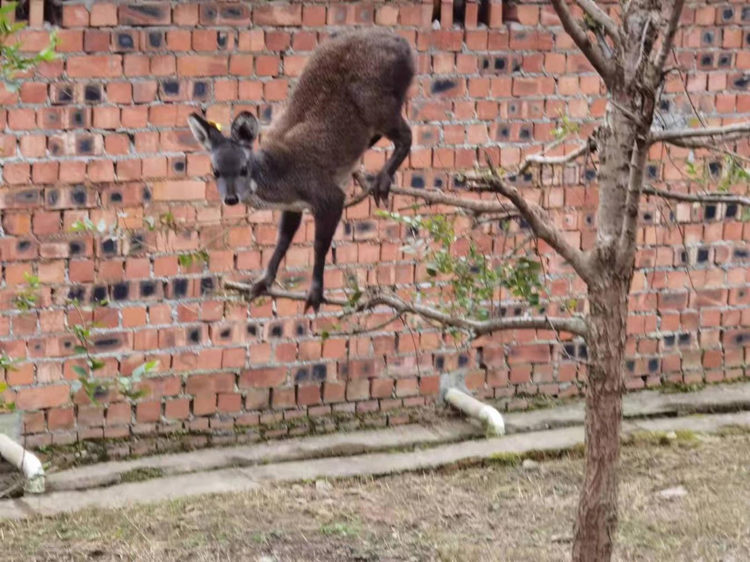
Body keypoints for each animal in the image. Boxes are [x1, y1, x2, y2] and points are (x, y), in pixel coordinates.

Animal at [187, 29, 412, 310]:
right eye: (215, 171)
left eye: (243, 169)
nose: (230, 198)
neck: (282, 180)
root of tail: (406, 47)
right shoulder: (294, 205)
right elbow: (283, 239)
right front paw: (261, 283)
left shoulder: (326, 194)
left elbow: (319, 244)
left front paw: (315, 294)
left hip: (376, 100)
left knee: (406, 135)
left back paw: (381, 182)